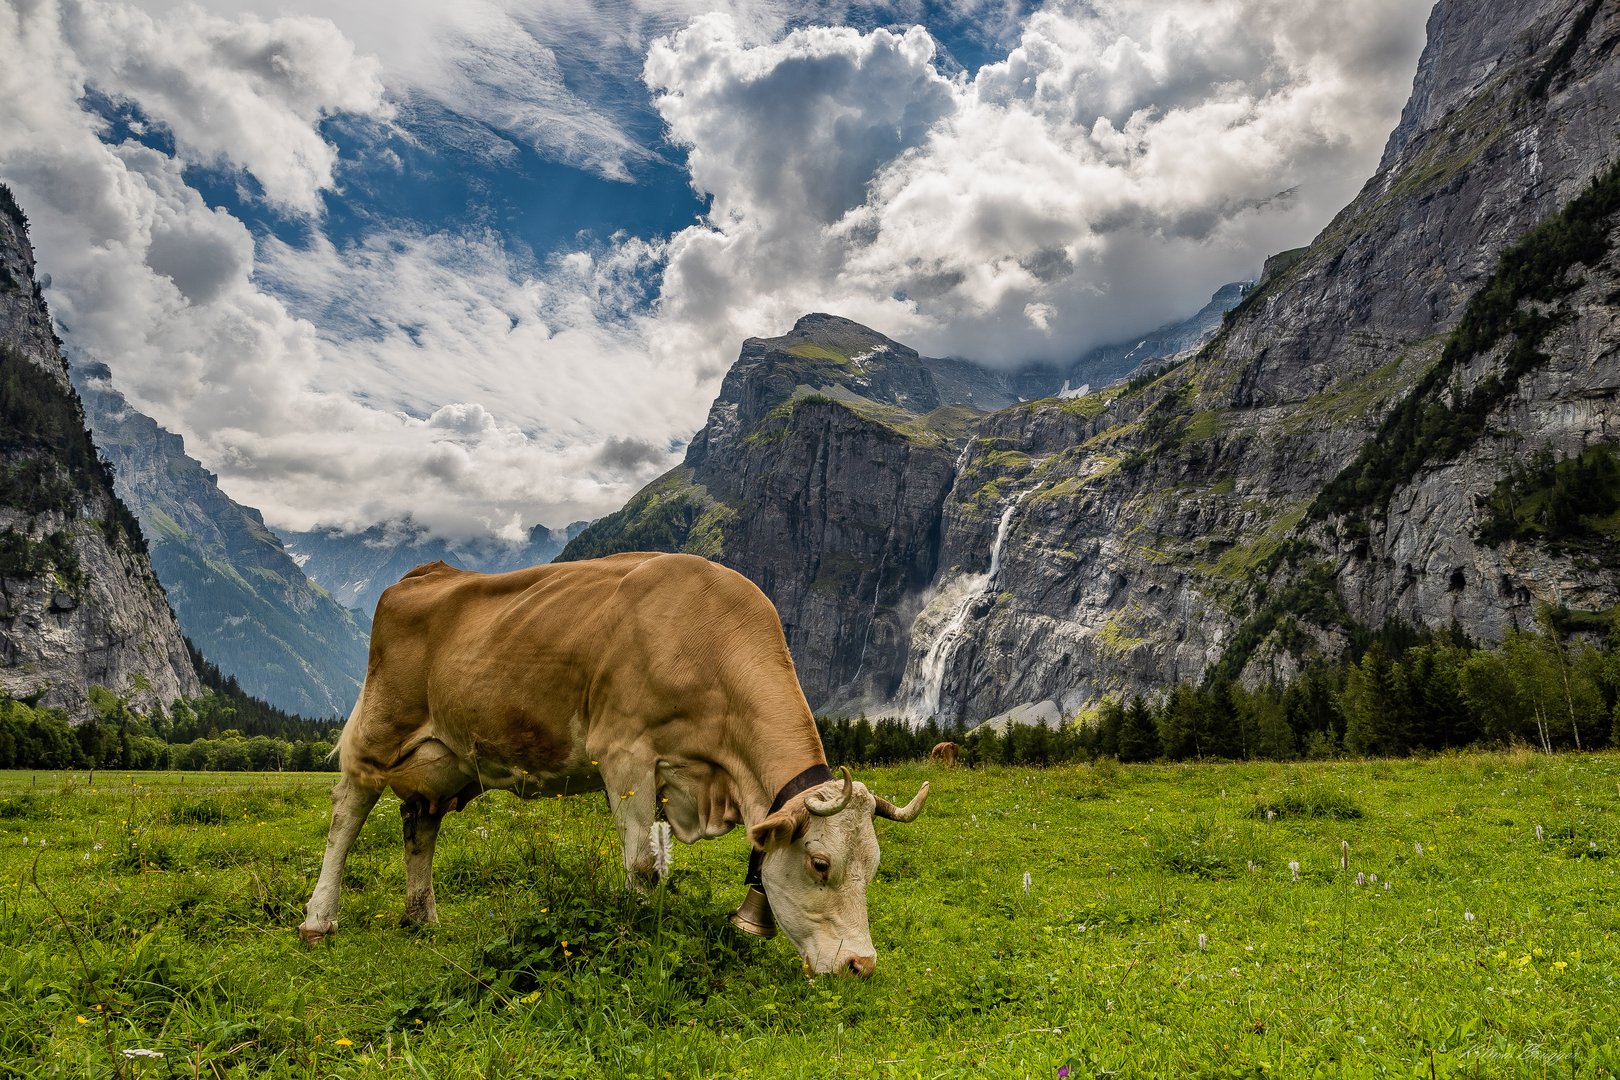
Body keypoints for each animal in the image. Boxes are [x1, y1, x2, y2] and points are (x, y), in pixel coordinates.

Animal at [299, 553, 933, 977]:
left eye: (874, 868)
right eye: (821, 864)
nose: (862, 965)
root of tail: (426, 572)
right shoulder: (625, 752)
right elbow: (643, 867)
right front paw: (635, 941)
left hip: (447, 757)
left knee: (420, 826)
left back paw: (422, 918)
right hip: (379, 732)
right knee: (346, 815)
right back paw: (318, 920)